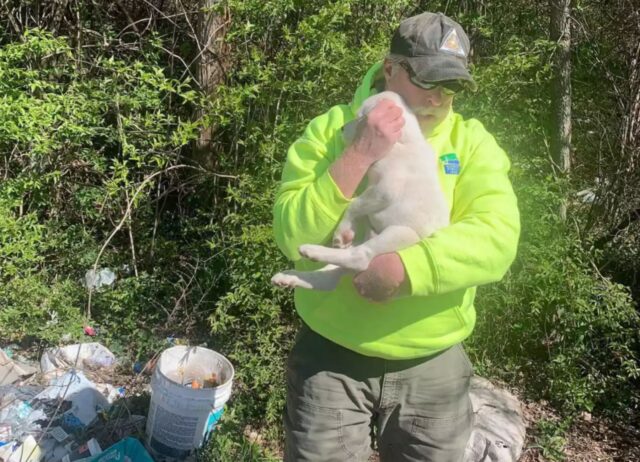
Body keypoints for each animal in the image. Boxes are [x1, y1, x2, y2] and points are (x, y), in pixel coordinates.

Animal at [272, 90, 448, 290]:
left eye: (360, 117)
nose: (341, 129)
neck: (404, 142)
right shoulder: (375, 189)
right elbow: (358, 205)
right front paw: (348, 229)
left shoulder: (385, 190)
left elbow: (354, 204)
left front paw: (343, 231)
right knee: (327, 279)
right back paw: (288, 276)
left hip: (401, 233)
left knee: (359, 257)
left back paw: (312, 250)